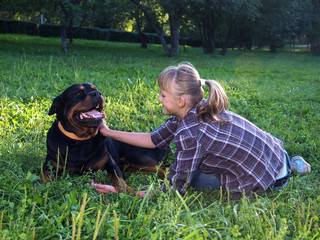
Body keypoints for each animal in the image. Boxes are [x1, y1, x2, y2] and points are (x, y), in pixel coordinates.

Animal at [41, 83, 169, 194]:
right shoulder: (50, 164)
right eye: (78, 93)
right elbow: (45, 176)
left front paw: (127, 191)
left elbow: (118, 179)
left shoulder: (110, 163)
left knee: (164, 168)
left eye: (95, 89)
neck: (79, 141)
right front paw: (42, 188)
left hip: (135, 155)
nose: (98, 93)